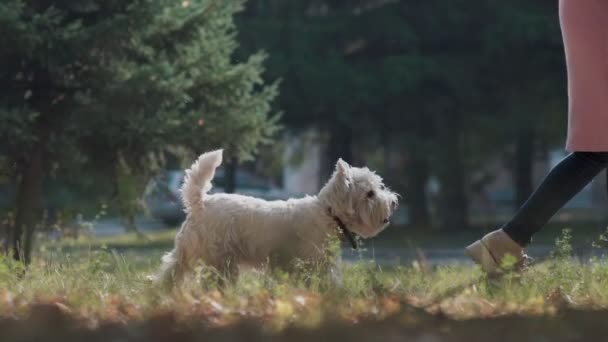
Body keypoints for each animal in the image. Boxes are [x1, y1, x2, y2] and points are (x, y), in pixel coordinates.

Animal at [152, 150, 400, 286]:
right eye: (370, 193)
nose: (394, 202)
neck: (328, 213)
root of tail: (200, 203)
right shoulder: (312, 265)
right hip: (218, 261)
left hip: (187, 253)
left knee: (168, 272)